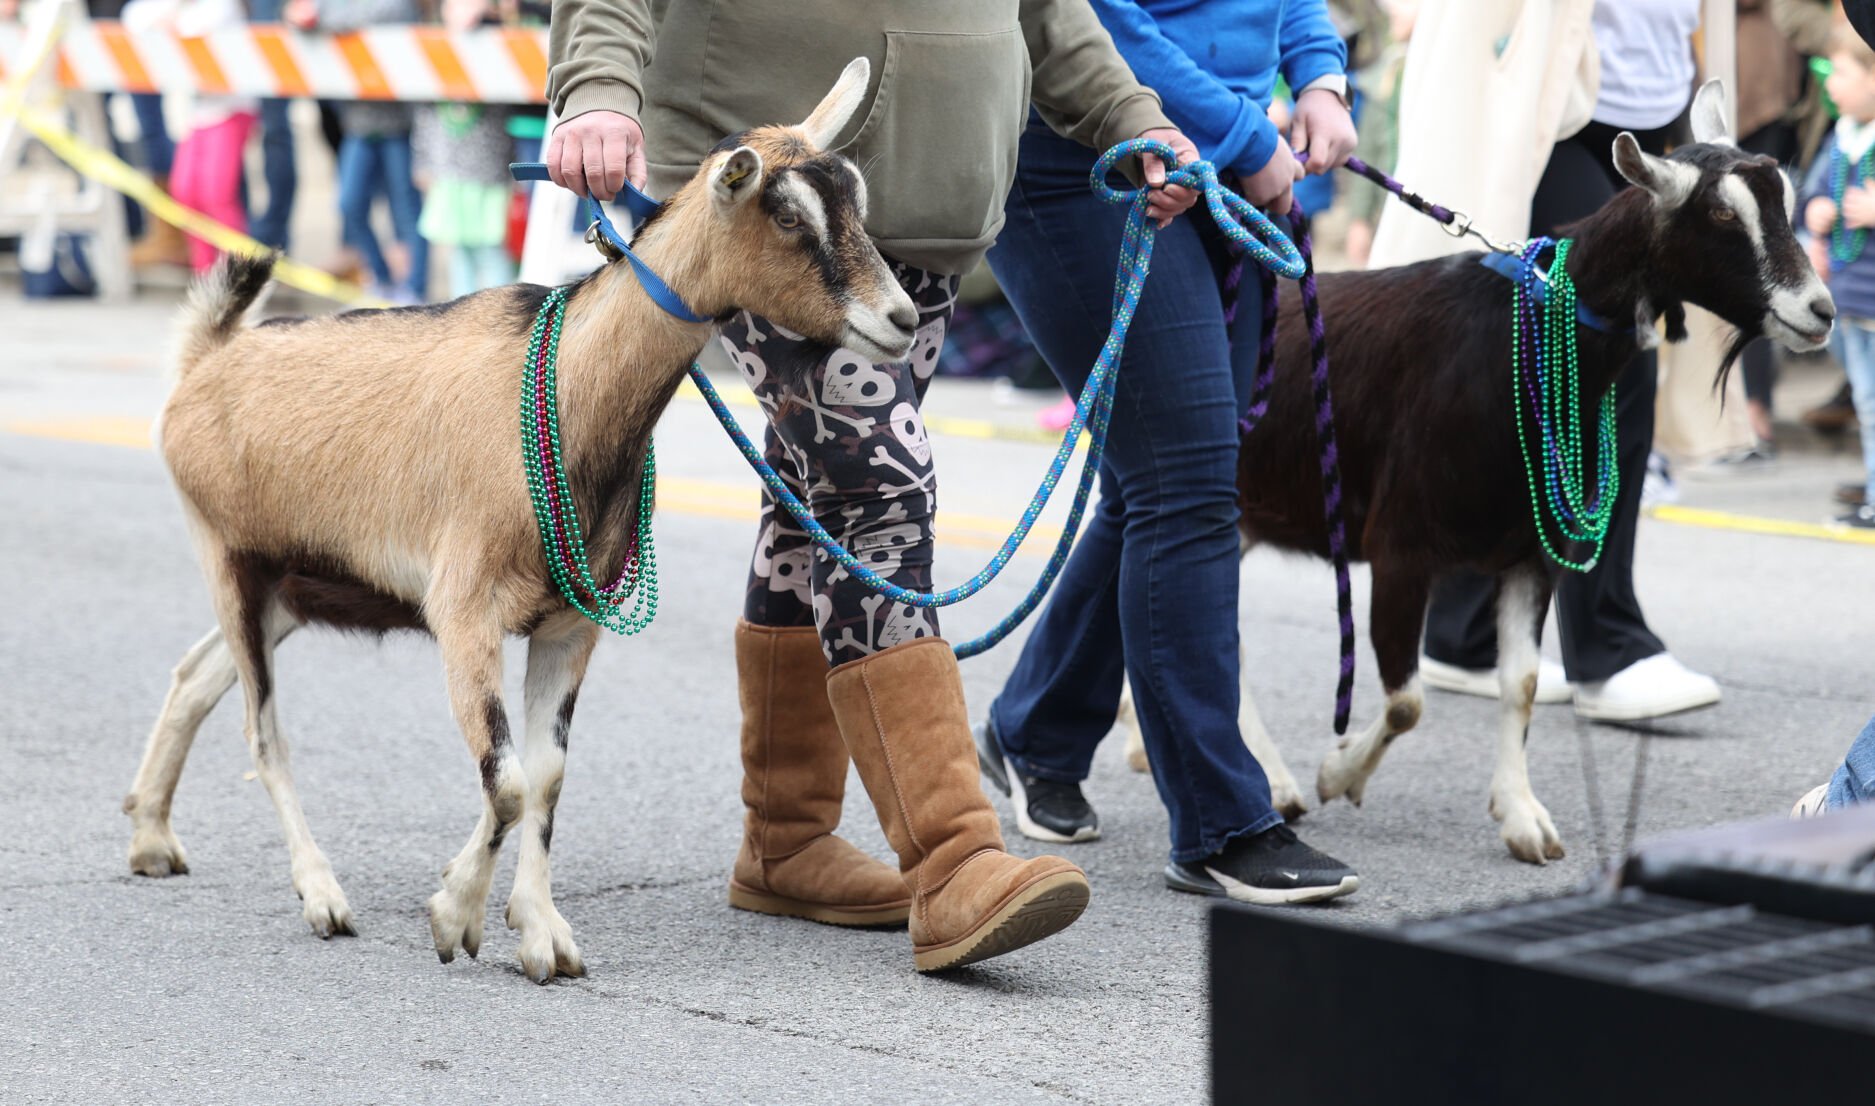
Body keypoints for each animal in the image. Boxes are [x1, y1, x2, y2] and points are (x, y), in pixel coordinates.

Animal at [120, 59, 917, 981]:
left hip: (291, 585)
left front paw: (540, 933)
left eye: (854, 198)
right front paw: (454, 917)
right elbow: (502, 778)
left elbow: (544, 776)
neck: (567, 390)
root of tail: (207, 360)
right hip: (228, 556)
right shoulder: (462, 610)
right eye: (786, 215)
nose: (901, 319)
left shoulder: (569, 624)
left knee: (195, 676)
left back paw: (151, 835)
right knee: (262, 731)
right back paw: (321, 895)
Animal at [1117, 82, 1834, 863]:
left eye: (1784, 200)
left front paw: (1524, 820)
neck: (1520, 340)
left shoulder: (1530, 552)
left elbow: (1519, 683)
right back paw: (1265, 783)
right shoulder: (1400, 548)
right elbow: (1406, 700)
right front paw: (1338, 773)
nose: (1819, 311)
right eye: (1720, 215)